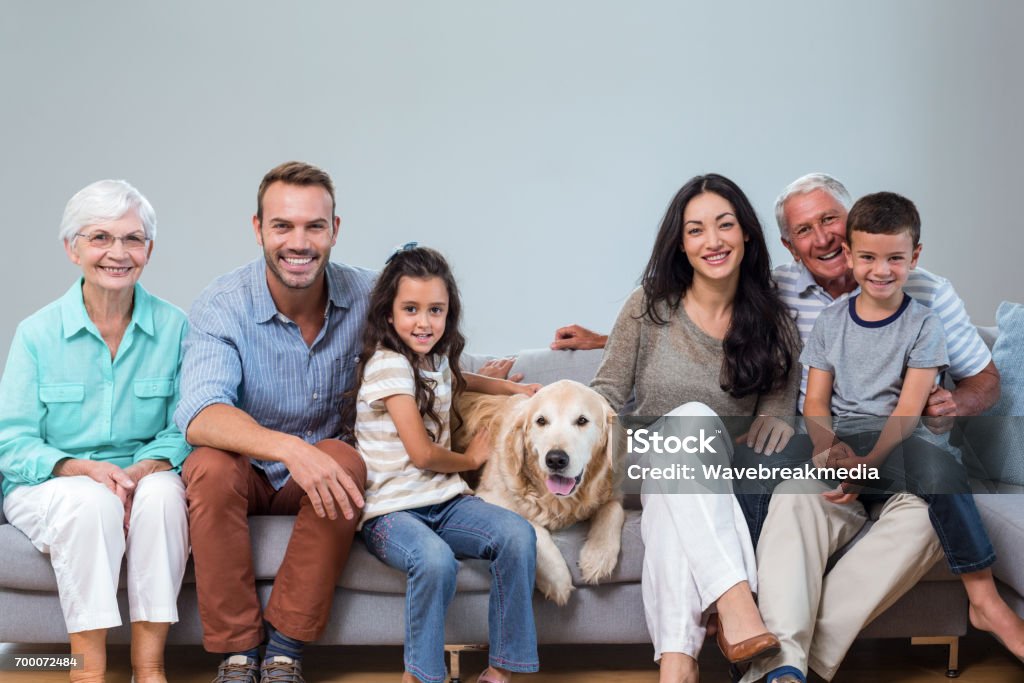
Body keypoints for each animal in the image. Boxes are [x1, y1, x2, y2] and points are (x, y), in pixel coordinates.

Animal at [456, 382, 622, 606]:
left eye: (582, 420)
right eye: (541, 421)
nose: (556, 459)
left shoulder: (610, 491)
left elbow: (614, 509)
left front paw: (597, 558)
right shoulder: (486, 496)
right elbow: (531, 526)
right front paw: (557, 579)